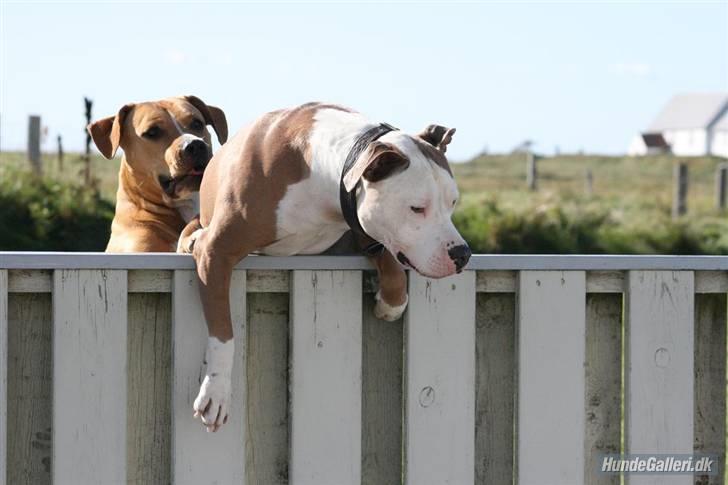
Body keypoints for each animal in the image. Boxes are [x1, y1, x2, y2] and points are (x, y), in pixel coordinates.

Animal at [178, 102, 472, 432]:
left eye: (453, 203)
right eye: (417, 208)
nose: (462, 253)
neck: (326, 174)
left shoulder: (358, 227)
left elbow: (389, 265)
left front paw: (389, 304)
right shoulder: (216, 252)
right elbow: (223, 333)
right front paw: (216, 391)